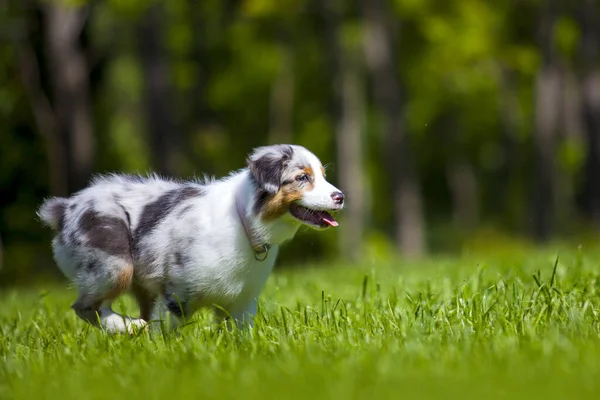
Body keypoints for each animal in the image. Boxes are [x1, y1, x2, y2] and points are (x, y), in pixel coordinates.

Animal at [37, 145, 344, 332]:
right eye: (302, 178)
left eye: (323, 176)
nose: (340, 196)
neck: (244, 219)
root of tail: (64, 208)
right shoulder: (175, 292)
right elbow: (164, 332)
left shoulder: (243, 302)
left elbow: (241, 336)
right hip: (114, 264)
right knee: (86, 306)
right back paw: (128, 327)